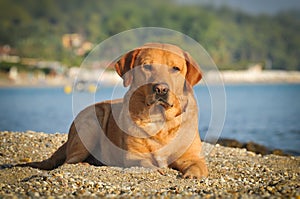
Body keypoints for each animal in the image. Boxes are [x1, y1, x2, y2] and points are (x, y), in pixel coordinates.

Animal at [19, 42, 209, 178]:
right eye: (147, 66)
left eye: (176, 68)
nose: (161, 89)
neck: (160, 119)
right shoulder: (132, 156)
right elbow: (146, 163)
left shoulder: (192, 156)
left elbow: (198, 165)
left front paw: (192, 174)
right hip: (91, 122)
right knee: (68, 162)